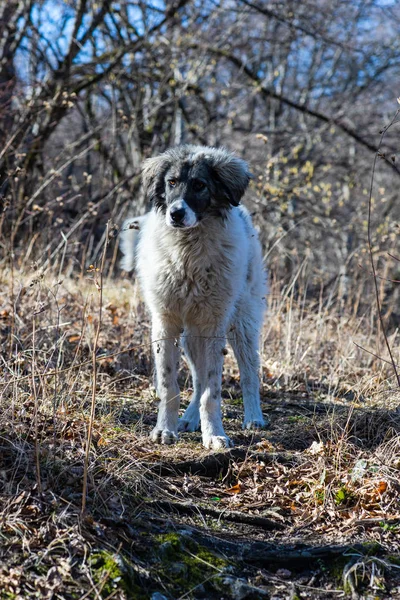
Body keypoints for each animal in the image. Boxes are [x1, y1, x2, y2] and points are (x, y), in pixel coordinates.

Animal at [120, 146, 268, 450]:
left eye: (200, 185)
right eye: (172, 182)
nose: (176, 214)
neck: (187, 253)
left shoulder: (214, 326)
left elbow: (212, 390)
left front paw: (214, 434)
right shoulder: (165, 322)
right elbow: (170, 385)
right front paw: (165, 429)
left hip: (241, 324)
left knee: (249, 372)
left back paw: (253, 417)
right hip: (191, 336)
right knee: (198, 379)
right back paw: (188, 420)